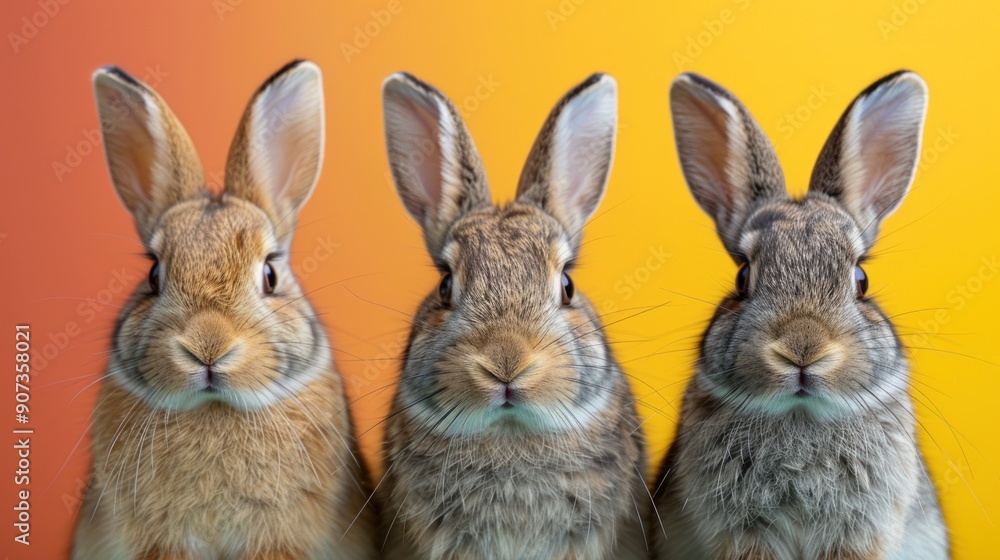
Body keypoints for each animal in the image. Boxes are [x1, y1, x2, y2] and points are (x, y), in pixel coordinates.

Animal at [650, 71, 950, 560]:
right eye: (742, 277)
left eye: (861, 279)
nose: (802, 348)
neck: (800, 414)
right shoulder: (744, 535)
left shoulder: (856, 533)